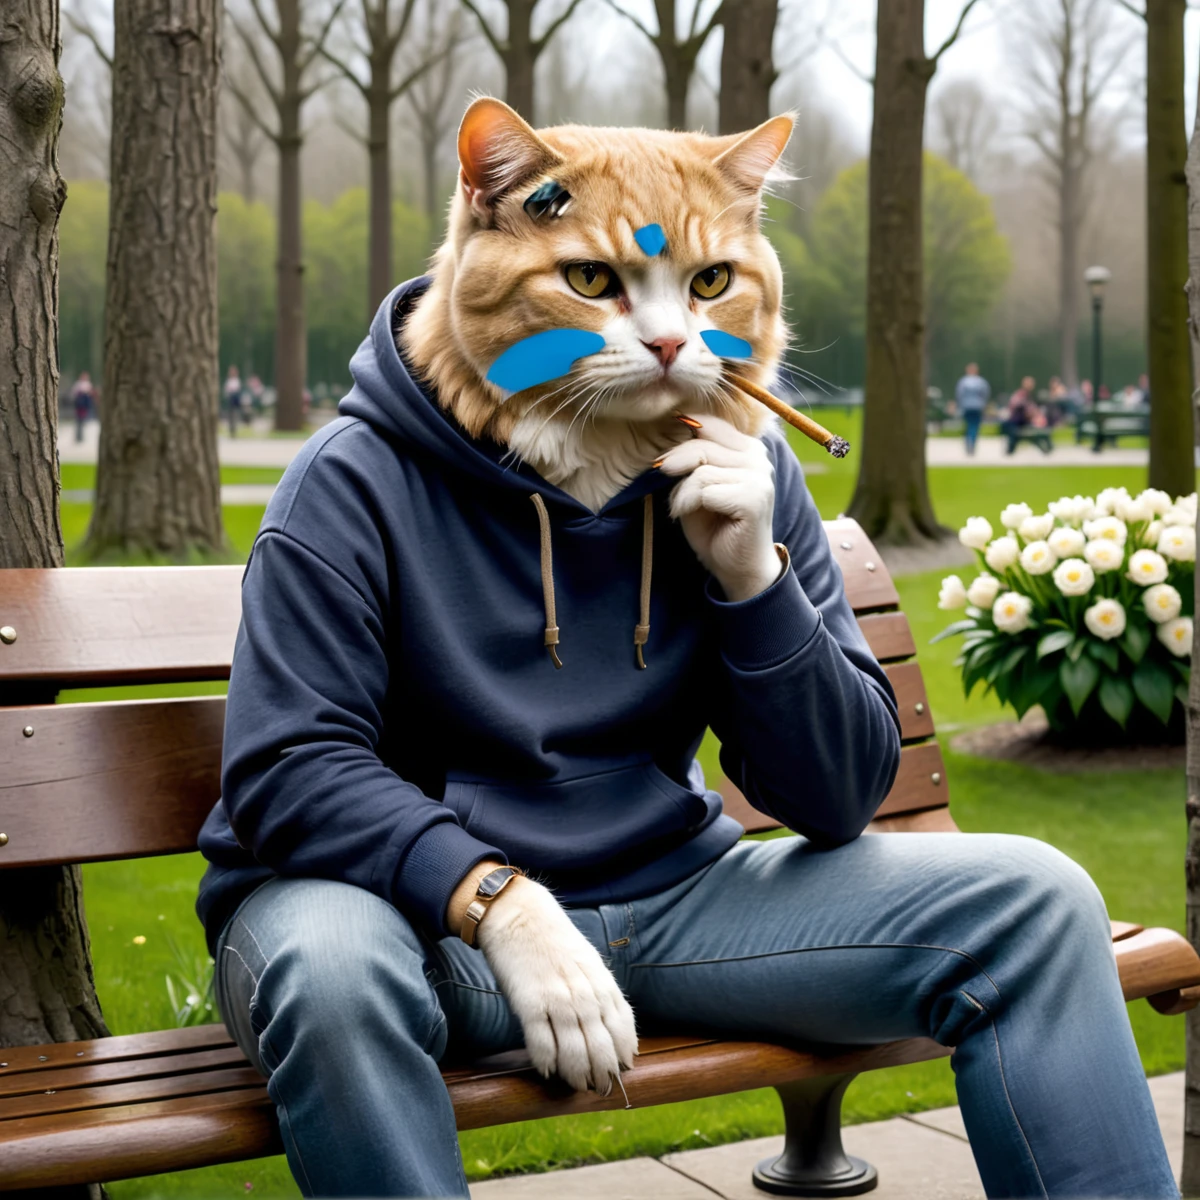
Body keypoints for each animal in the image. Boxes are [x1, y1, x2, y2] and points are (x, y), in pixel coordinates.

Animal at [196, 98, 1180, 1195]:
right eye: (589, 280)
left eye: (712, 281)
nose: (674, 347)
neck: (587, 477)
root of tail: (626, 941)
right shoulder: (309, 552)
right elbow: (305, 746)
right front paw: (558, 972)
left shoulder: (775, 504)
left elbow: (848, 760)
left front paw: (728, 501)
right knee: (336, 973)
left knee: (1034, 905)